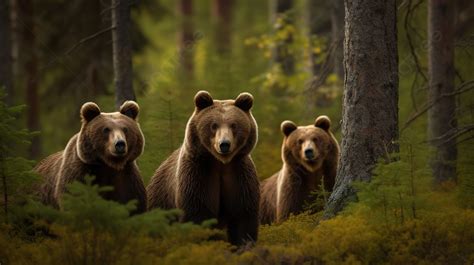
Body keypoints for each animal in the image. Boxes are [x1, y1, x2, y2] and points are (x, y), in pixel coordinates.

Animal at [147, 89, 260, 244]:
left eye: (234, 125)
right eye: (214, 125)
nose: (224, 144)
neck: (221, 163)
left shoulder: (239, 173)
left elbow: (243, 215)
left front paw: (244, 243)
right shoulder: (199, 173)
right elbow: (198, 213)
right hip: (161, 202)